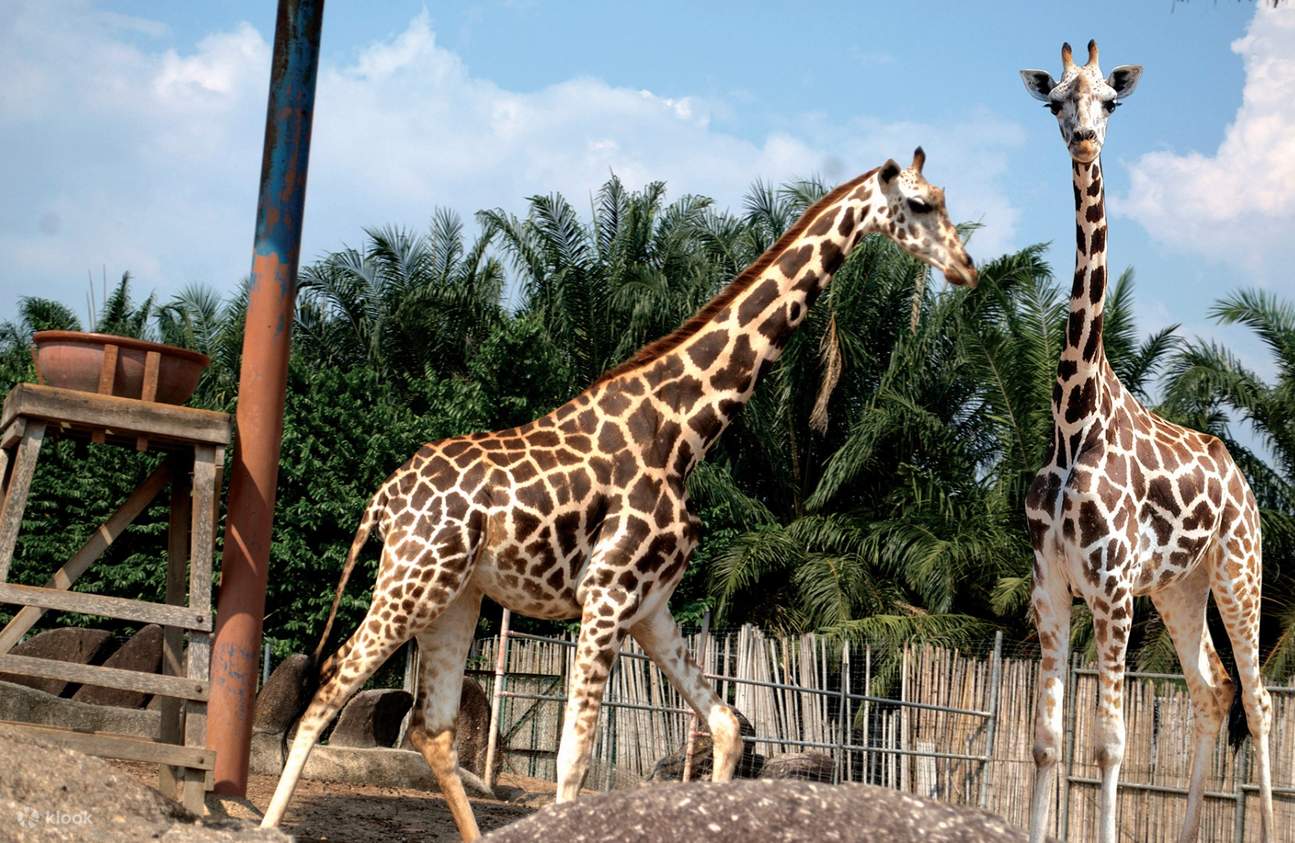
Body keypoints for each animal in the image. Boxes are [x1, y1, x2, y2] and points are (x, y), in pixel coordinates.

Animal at [260, 150, 978, 841]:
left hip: (456, 594)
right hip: (412, 578)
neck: (683, 432)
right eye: (919, 204)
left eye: (946, 200)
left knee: (431, 727)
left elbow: (724, 723)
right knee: (330, 687)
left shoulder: (650, 605)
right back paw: (268, 824)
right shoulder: (605, 597)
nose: (966, 268)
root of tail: (384, 496)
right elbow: (572, 757)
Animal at [1019, 41, 1273, 843]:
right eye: (1055, 101)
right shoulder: (1050, 584)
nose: (1084, 140)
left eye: (1110, 100)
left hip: (1239, 569)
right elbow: (1046, 741)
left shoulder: (1109, 590)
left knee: (1257, 697)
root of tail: (1244, 482)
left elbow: (1108, 743)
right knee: (1211, 687)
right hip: (1178, 587)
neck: (1074, 418)